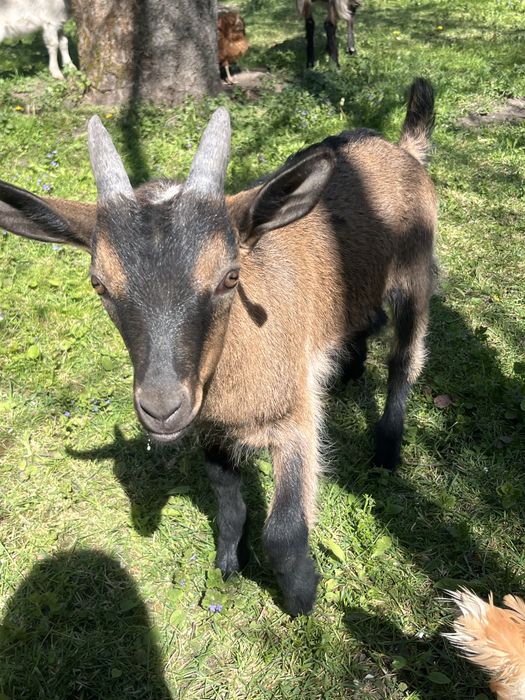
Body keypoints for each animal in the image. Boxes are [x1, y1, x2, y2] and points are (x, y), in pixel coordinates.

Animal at [0, 78, 437, 615]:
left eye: (230, 276)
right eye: (99, 284)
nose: (161, 406)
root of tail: (402, 150)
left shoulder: (295, 420)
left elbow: (284, 532)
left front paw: (302, 597)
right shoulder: (210, 425)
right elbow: (228, 502)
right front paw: (229, 563)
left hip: (416, 274)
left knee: (404, 358)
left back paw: (388, 450)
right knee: (367, 321)